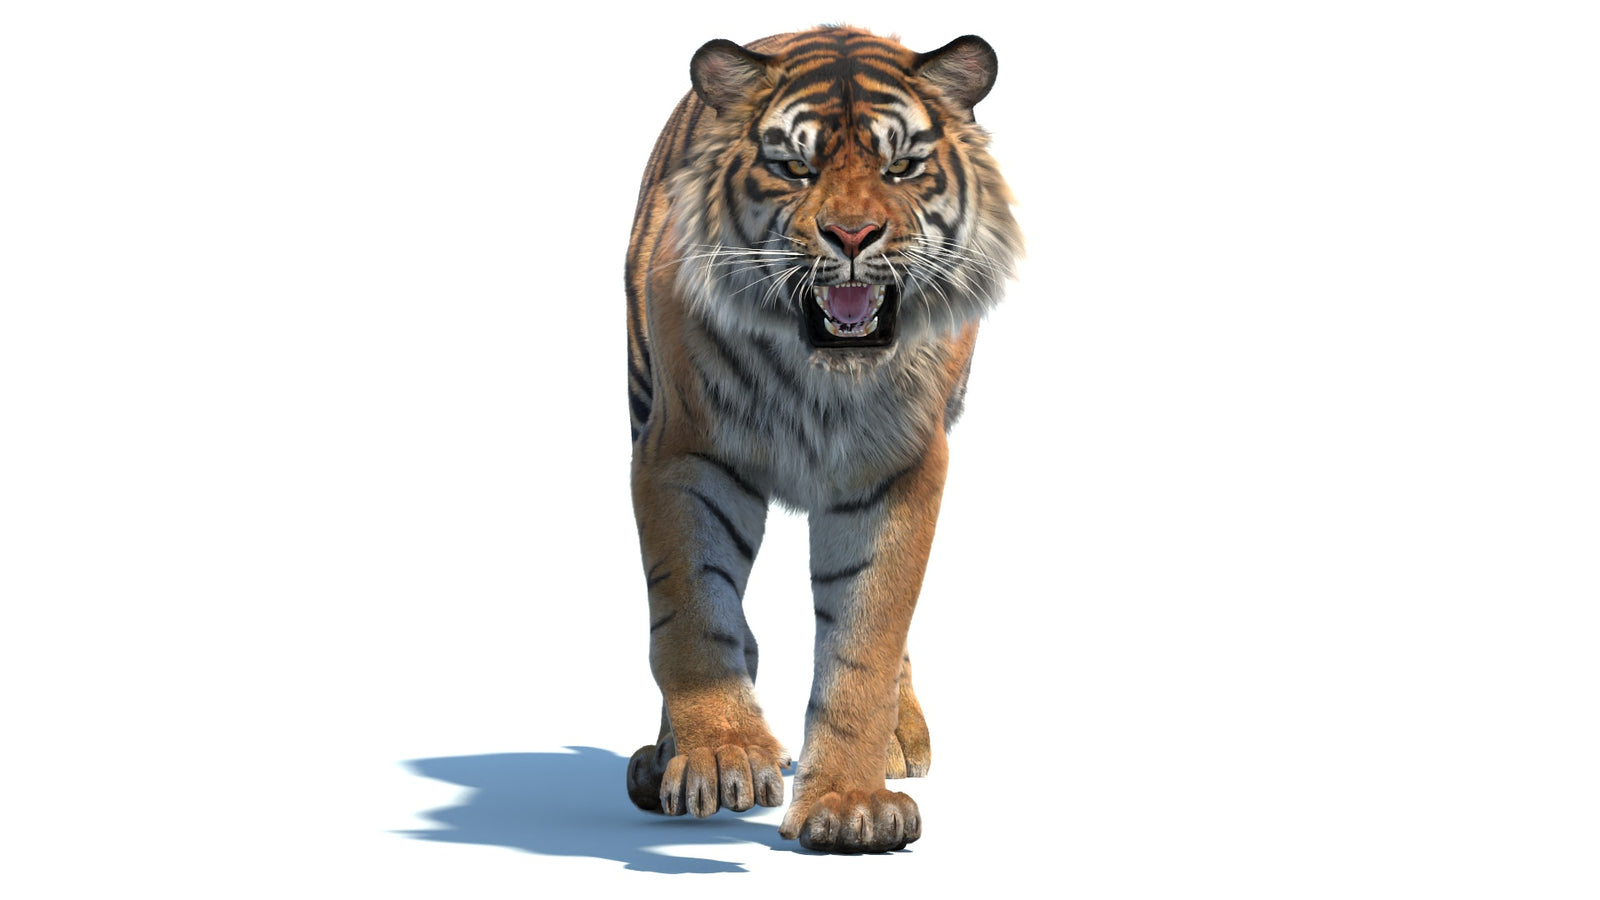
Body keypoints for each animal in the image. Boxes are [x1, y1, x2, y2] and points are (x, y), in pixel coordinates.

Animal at [623, 25, 1021, 853]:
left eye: (901, 166)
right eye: (794, 168)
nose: (852, 235)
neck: (821, 375)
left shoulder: (900, 468)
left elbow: (867, 637)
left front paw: (849, 804)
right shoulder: (683, 452)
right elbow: (693, 614)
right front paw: (720, 756)